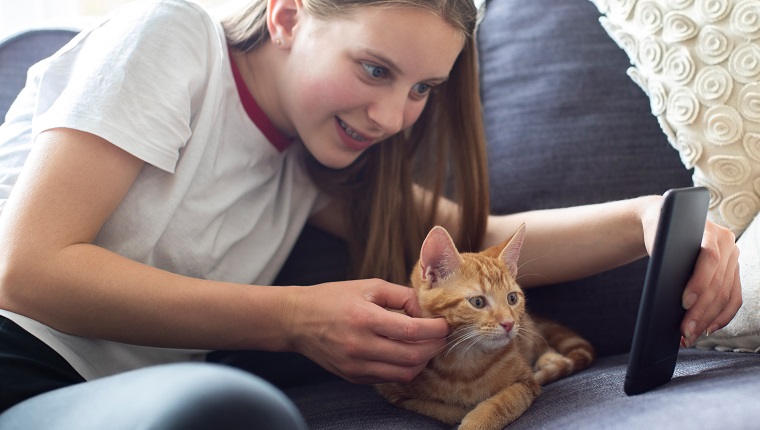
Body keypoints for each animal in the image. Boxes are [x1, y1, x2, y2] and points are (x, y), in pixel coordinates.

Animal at [378, 225, 596, 430]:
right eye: (478, 302)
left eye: (512, 298)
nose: (509, 323)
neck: (464, 363)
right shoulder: (392, 389)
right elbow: (432, 407)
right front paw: (459, 412)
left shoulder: (527, 382)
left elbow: (506, 401)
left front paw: (477, 422)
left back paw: (550, 358)